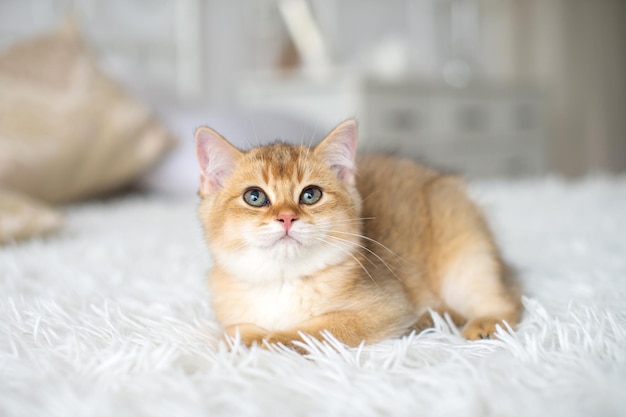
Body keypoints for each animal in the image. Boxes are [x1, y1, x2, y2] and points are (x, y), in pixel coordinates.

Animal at [193, 118, 520, 350]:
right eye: (255, 197)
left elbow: (316, 329)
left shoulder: (387, 307)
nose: (286, 217)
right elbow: (236, 329)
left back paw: (484, 322)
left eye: (310, 195)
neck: (283, 280)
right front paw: (245, 338)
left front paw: (269, 340)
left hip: (465, 251)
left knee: (509, 303)